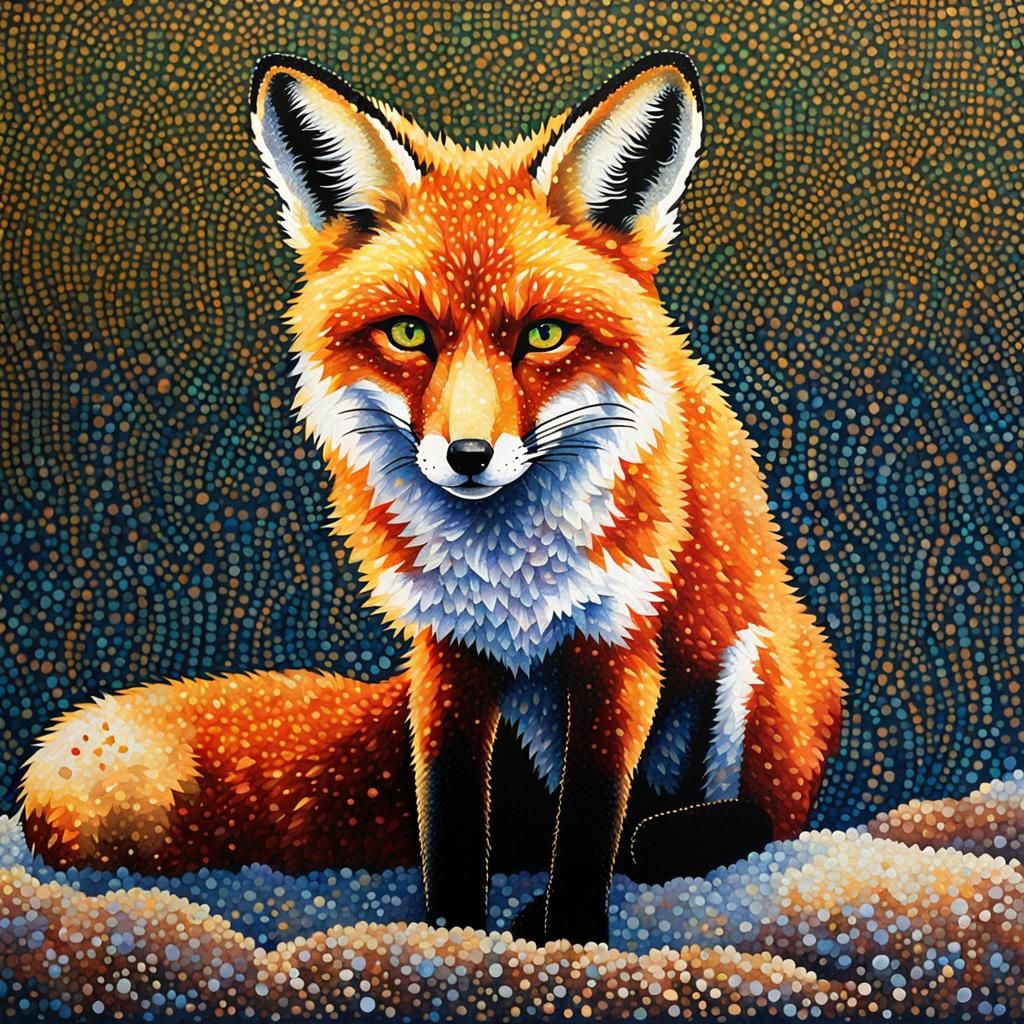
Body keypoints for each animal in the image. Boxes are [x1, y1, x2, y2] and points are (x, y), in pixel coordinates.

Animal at [20, 52, 844, 945]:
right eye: (410, 334)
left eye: (543, 336)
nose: (469, 455)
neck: (504, 566)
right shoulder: (447, 652)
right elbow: (449, 815)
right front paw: (449, 935)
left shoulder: (619, 645)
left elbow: (591, 822)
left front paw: (570, 932)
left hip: (761, 666)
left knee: (747, 820)